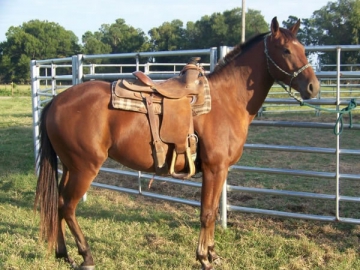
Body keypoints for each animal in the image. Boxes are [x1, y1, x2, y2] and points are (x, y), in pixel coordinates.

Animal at [33, 17, 320, 270]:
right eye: (285, 49)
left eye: (303, 49)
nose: (313, 87)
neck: (226, 100)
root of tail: (56, 101)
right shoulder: (215, 169)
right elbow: (207, 213)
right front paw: (204, 258)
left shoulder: (221, 171)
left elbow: (212, 212)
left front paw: (213, 254)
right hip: (84, 168)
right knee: (68, 207)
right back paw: (86, 256)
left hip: (70, 167)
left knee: (58, 203)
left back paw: (63, 253)